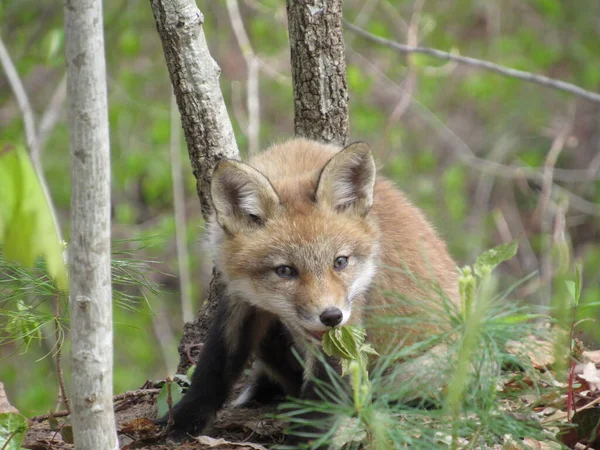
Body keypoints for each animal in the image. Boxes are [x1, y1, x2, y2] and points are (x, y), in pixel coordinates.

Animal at [157, 139, 458, 444]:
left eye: (340, 262)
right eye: (285, 270)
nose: (331, 316)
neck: (294, 162)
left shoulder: (349, 320)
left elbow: (320, 403)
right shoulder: (239, 296)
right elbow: (214, 367)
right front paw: (181, 421)